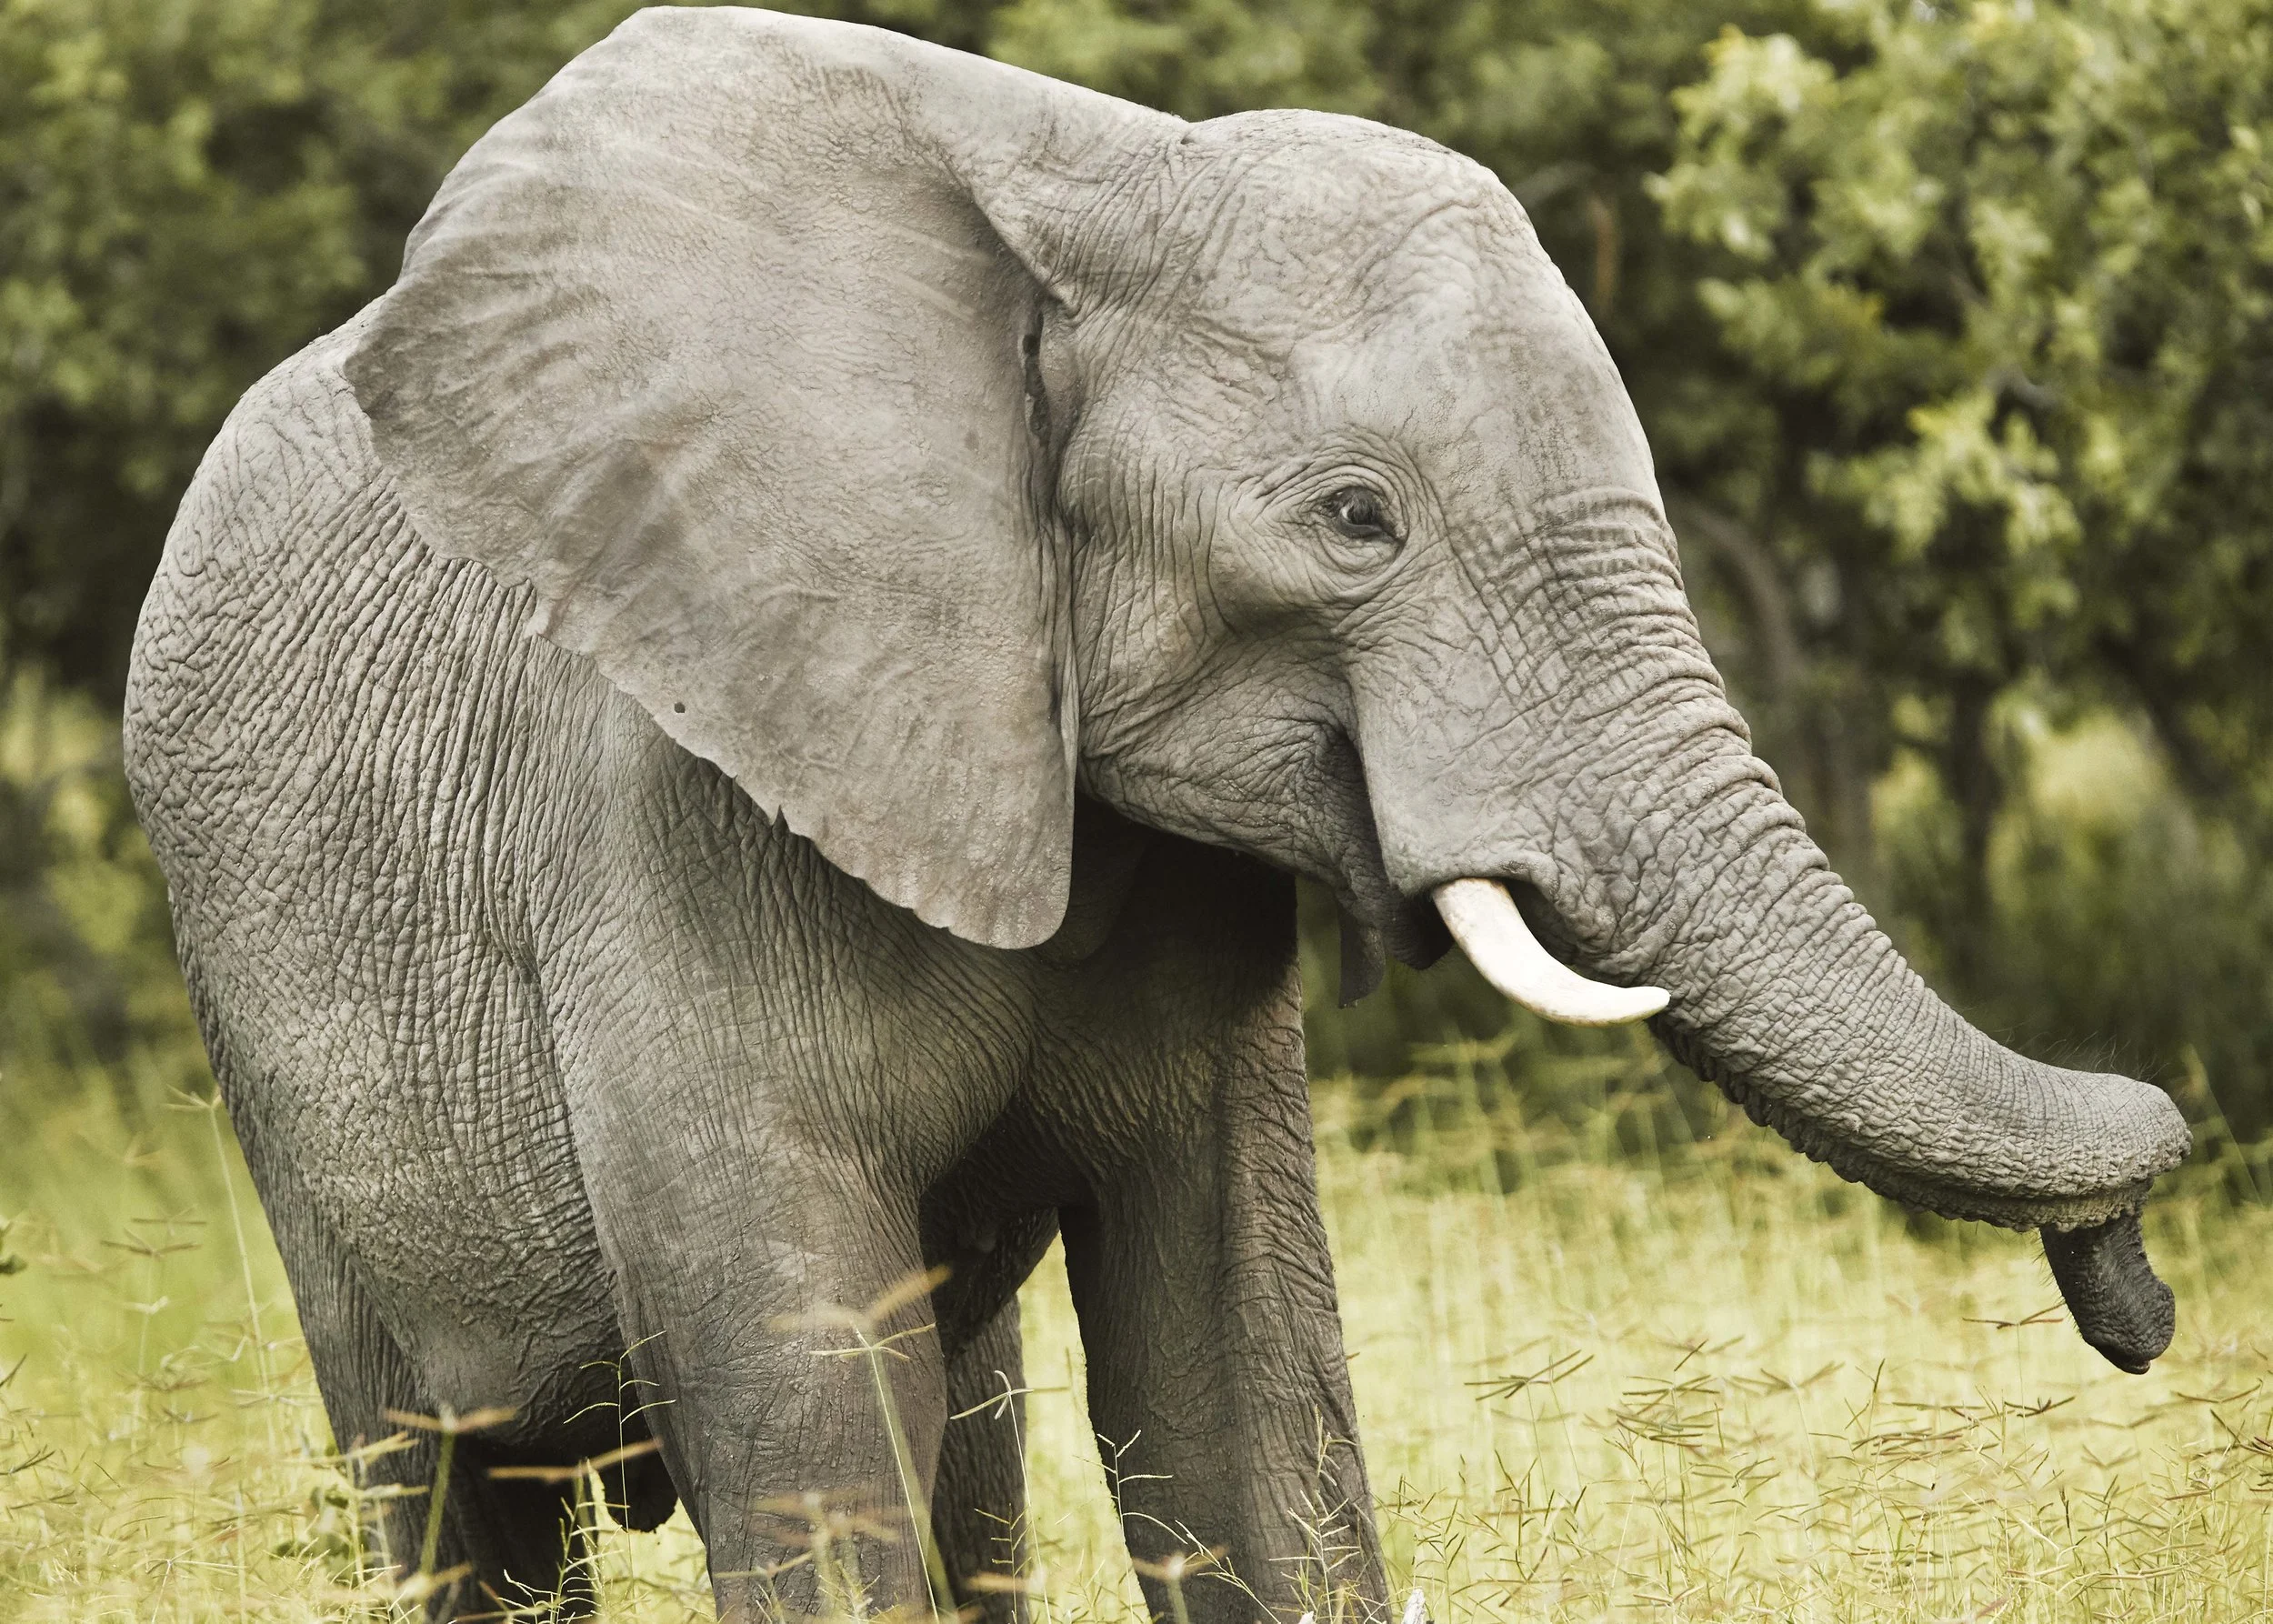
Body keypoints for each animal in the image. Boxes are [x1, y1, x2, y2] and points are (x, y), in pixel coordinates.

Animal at [124, 7, 2191, 1620]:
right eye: (1356, 521)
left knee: (967, 1444)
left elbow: (1237, 1378)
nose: (2136, 1292)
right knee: (450, 1490)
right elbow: (803, 1402)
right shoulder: (672, 807)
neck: (1098, 175)